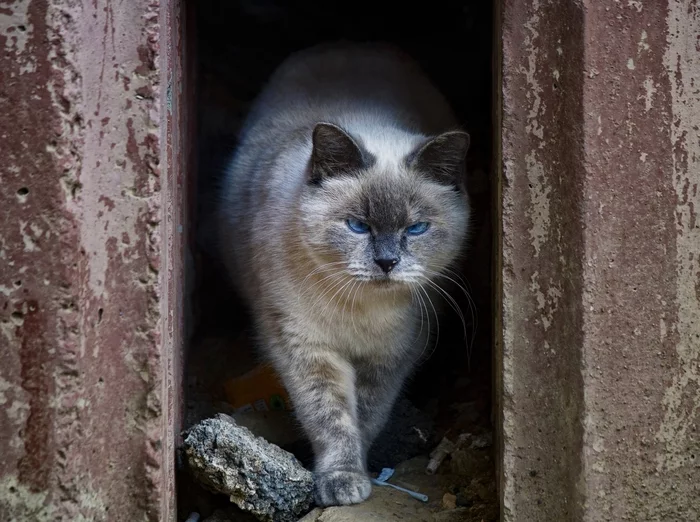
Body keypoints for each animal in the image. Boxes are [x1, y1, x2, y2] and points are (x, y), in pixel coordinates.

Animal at [219, 42, 470, 506]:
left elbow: (367, 417)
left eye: (416, 229)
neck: (361, 311)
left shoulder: (390, 357)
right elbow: (331, 418)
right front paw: (341, 482)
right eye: (358, 226)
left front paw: (355, 477)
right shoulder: (306, 348)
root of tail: (351, 44)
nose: (387, 262)